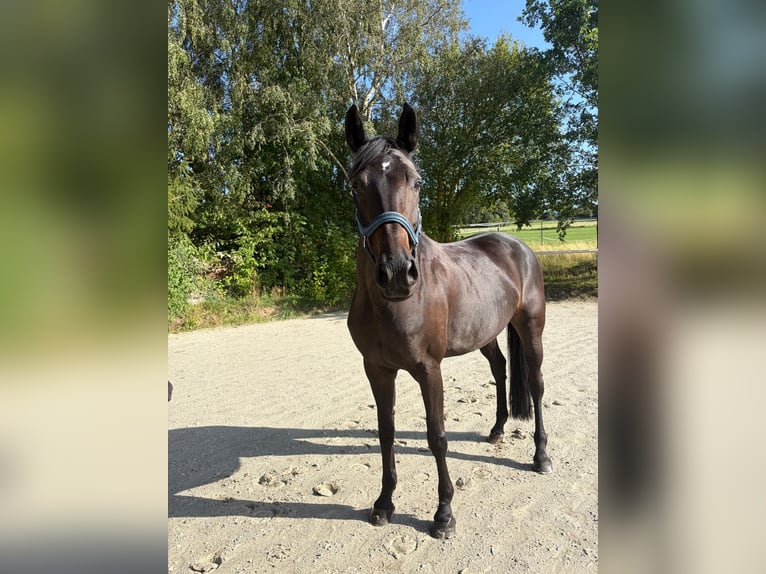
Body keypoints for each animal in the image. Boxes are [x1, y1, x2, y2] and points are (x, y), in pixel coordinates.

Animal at [344, 103, 552, 539]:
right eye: (356, 185)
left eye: (417, 181)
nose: (397, 273)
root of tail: (518, 245)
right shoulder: (377, 369)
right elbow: (386, 432)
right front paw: (384, 503)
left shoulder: (429, 369)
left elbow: (436, 435)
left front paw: (443, 513)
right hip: (487, 333)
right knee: (500, 368)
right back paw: (497, 429)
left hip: (531, 329)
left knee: (537, 385)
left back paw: (541, 456)